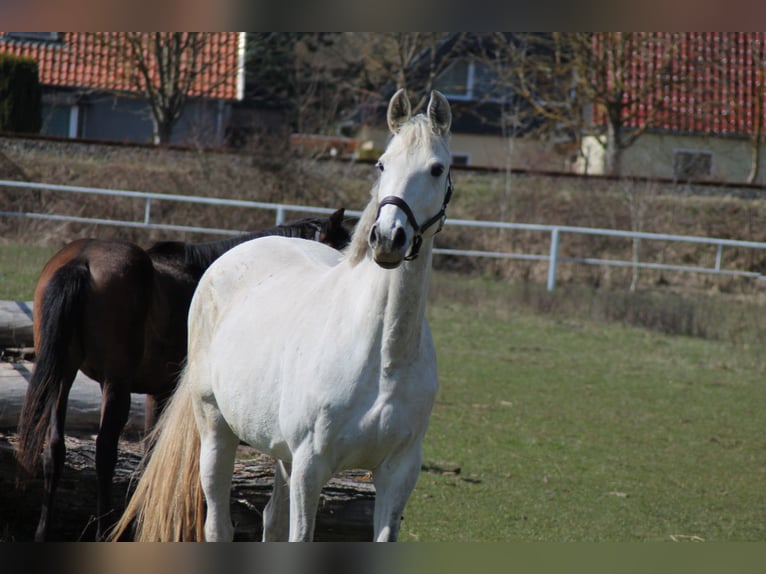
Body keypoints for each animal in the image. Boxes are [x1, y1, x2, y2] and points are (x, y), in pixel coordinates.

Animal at [15, 208, 350, 542]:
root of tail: (81, 261)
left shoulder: (156, 393)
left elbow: (150, 459)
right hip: (114, 384)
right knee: (104, 452)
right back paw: (104, 531)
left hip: (63, 375)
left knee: (54, 449)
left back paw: (44, 532)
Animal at [109, 89, 453, 542]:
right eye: (382, 164)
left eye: (437, 168)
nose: (387, 238)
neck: (382, 358)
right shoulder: (311, 466)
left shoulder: (398, 472)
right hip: (216, 430)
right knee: (218, 521)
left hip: (281, 453)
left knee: (271, 519)